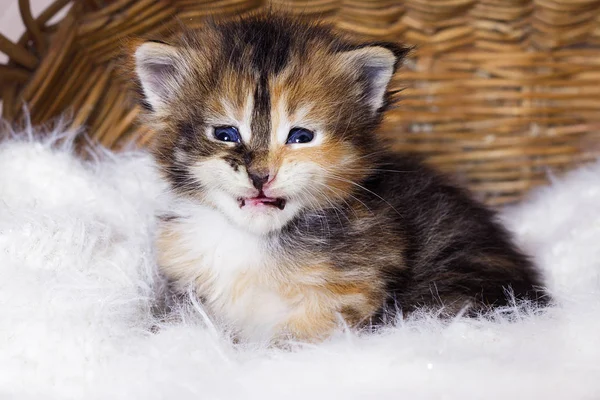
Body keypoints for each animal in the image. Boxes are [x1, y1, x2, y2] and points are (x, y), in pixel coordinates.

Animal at [126, 14, 548, 342]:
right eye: (225, 133)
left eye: (300, 136)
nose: (261, 175)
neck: (255, 241)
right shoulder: (182, 281)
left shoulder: (349, 292)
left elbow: (299, 337)